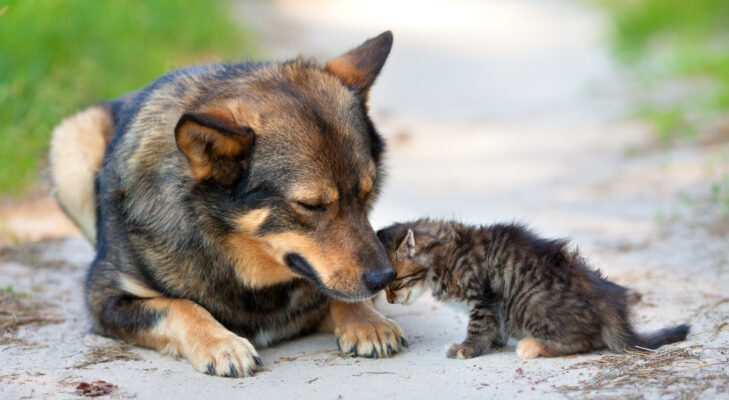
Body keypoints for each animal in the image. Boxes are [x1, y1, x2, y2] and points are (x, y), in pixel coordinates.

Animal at [48, 32, 406, 378]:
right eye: (310, 205)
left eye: (366, 193)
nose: (385, 277)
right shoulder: (106, 300)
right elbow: (178, 306)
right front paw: (221, 343)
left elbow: (337, 295)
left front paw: (367, 322)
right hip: (72, 141)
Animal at [376, 219, 688, 360]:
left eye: (394, 283)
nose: (389, 302)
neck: (447, 255)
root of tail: (610, 303)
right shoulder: (491, 306)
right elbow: (493, 327)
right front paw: (495, 342)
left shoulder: (483, 298)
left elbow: (477, 327)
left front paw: (466, 348)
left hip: (530, 301)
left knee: (583, 340)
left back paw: (532, 345)